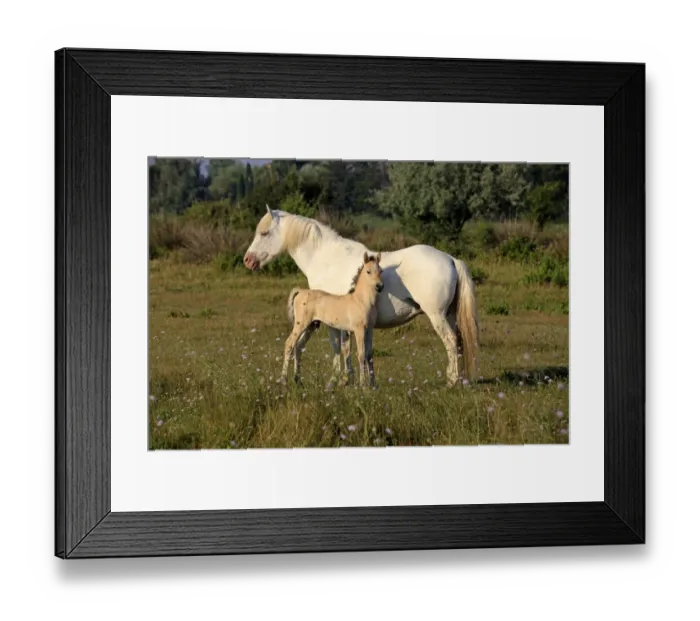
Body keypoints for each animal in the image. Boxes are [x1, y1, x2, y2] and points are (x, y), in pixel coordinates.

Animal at [281, 252, 384, 387]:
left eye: (380, 271)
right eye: (368, 271)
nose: (380, 286)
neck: (361, 301)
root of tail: (300, 292)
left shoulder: (370, 329)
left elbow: (369, 355)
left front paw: (373, 385)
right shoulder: (359, 330)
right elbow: (361, 355)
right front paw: (363, 385)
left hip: (311, 326)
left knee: (298, 346)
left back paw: (298, 381)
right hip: (301, 324)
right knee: (289, 344)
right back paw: (283, 380)